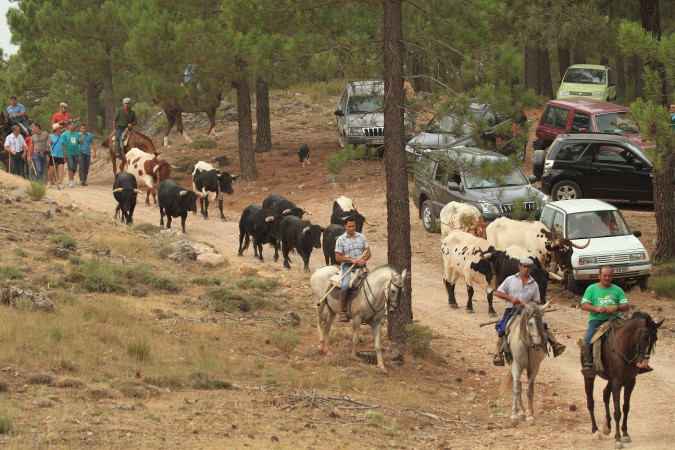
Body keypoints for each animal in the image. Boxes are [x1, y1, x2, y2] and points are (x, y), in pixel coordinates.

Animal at [580, 312, 664, 448]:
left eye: (655, 339)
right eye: (644, 337)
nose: (643, 363)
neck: (625, 348)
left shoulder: (630, 382)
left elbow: (625, 407)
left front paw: (625, 434)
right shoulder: (617, 381)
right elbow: (618, 411)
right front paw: (618, 439)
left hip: (610, 380)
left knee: (605, 394)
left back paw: (607, 427)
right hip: (589, 376)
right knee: (590, 402)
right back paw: (595, 431)